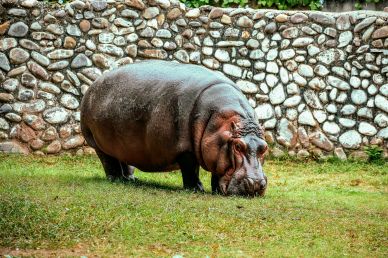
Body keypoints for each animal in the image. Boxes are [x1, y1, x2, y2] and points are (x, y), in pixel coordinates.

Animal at [81, 60, 270, 197]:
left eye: (264, 147)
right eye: (237, 146)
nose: (257, 184)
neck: (219, 121)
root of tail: (92, 86)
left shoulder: (217, 151)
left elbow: (217, 172)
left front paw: (215, 190)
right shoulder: (185, 149)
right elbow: (191, 170)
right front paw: (197, 189)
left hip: (121, 145)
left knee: (123, 159)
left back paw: (131, 178)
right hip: (97, 143)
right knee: (108, 161)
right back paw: (116, 179)